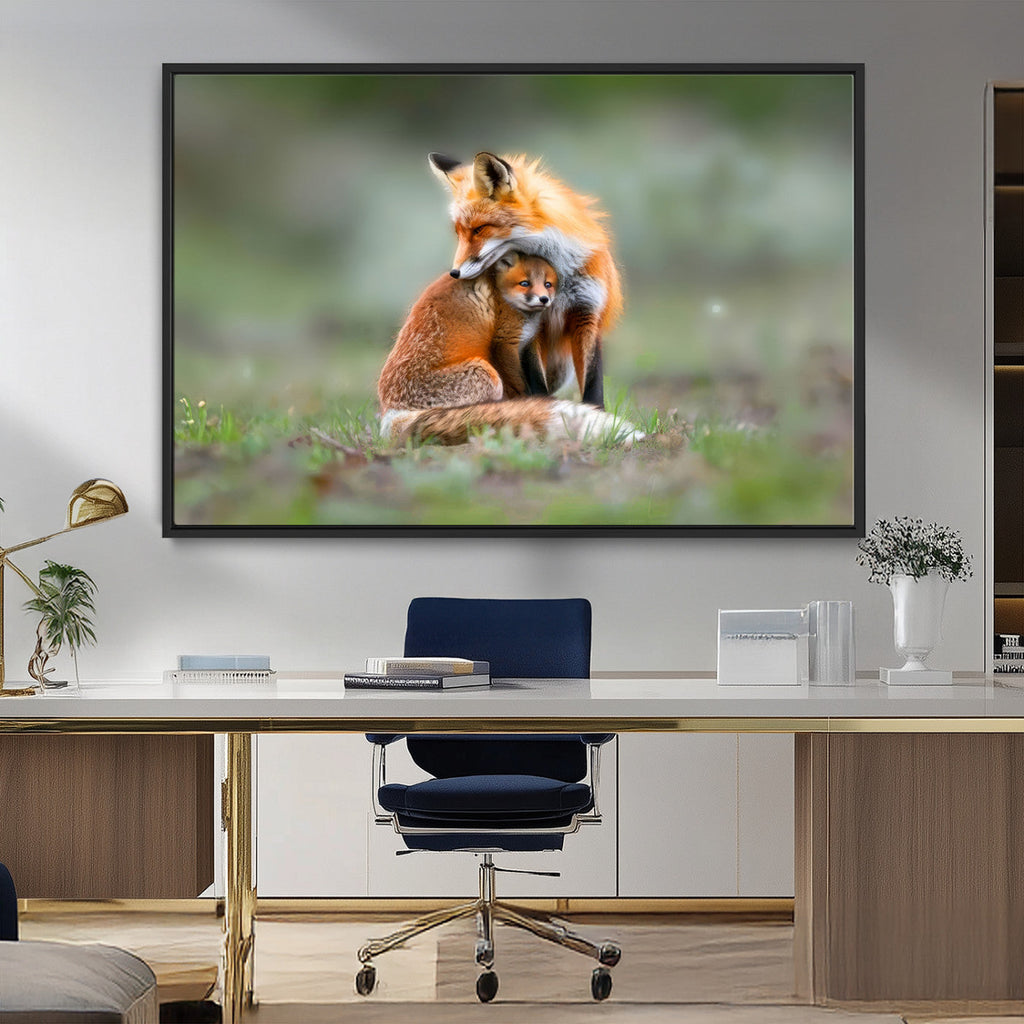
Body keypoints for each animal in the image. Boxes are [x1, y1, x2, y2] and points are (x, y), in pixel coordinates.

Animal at [428, 150, 623, 410]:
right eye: (458, 233)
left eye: (479, 229)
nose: (454, 273)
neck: (559, 275)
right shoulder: (532, 324)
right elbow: (536, 382)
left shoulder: (587, 313)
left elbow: (593, 384)